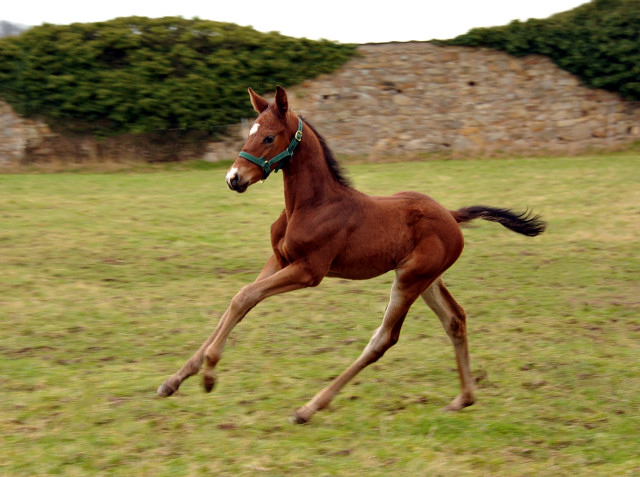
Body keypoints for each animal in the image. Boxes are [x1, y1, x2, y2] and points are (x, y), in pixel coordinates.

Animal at [156, 87, 544, 422]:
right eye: (248, 133)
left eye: (268, 137)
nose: (233, 178)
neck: (312, 204)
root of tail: (451, 214)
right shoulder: (279, 260)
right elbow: (240, 300)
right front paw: (176, 379)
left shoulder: (309, 271)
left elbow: (244, 297)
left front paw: (209, 374)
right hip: (426, 279)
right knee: (455, 320)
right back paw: (463, 398)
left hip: (410, 278)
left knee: (384, 339)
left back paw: (309, 408)